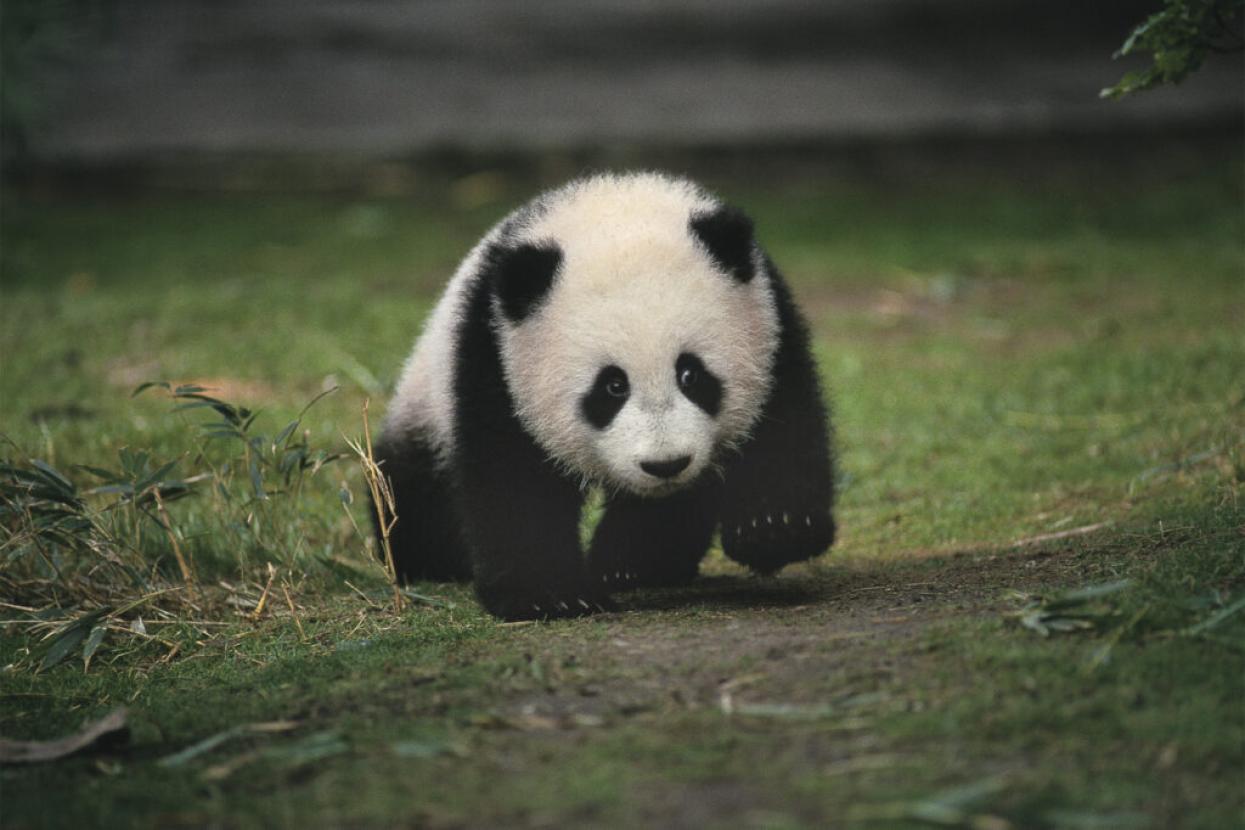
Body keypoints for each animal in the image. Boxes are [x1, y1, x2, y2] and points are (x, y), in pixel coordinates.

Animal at [374, 172, 835, 620]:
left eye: (691, 375)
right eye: (612, 386)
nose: (665, 465)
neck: (612, 207)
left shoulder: (771, 321)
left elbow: (785, 425)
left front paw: (772, 527)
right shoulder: (495, 356)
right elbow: (512, 477)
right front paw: (548, 596)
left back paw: (632, 564)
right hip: (426, 398)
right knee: (413, 486)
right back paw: (422, 557)